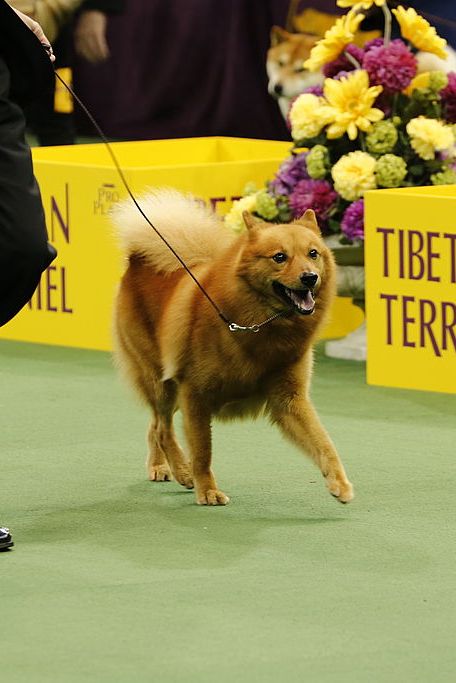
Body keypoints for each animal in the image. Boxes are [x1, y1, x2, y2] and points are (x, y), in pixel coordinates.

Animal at [112, 190, 354, 504]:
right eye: (280, 257)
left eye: (313, 254)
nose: (310, 277)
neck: (259, 326)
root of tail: (137, 261)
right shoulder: (196, 395)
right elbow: (203, 451)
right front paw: (208, 490)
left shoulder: (290, 399)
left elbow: (323, 442)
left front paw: (339, 482)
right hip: (162, 382)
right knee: (163, 428)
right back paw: (182, 471)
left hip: (171, 391)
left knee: (154, 426)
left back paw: (161, 466)